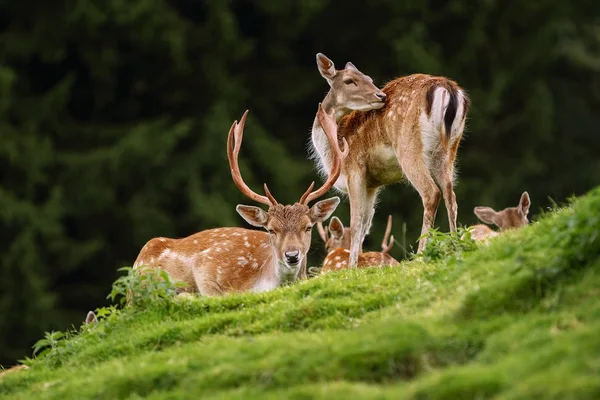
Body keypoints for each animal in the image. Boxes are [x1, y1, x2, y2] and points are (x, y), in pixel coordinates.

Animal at [310, 52, 474, 266]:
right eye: (349, 80)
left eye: (368, 78)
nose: (381, 96)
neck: (334, 148)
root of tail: (447, 89)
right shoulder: (372, 185)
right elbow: (365, 224)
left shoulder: (355, 170)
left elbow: (356, 222)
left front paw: (352, 266)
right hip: (449, 149)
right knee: (450, 195)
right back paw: (455, 245)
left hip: (408, 147)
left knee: (431, 192)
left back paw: (420, 255)